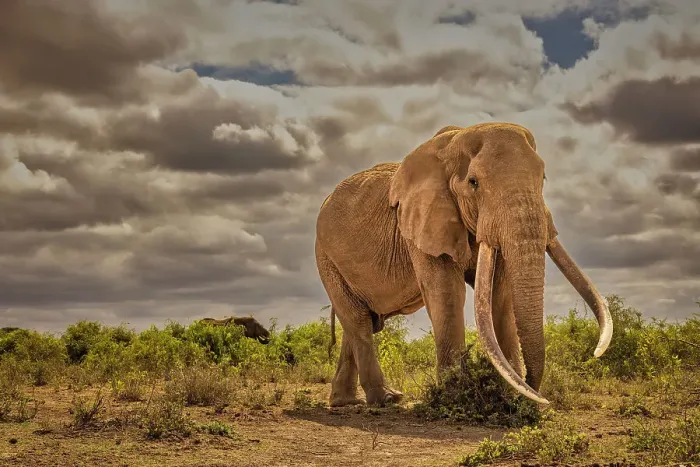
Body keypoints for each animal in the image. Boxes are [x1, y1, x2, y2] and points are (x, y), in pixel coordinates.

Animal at [316, 122, 613, 407]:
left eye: (543, 178)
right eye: (473, 182)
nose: (534, 394)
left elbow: (499, 295)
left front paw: (509, 396)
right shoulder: (421, 223)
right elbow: (447, 292)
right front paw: (453, 395)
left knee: (361, 320)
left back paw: (348, 401)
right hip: (325, 257)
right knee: (358, 321)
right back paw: (385, 400)